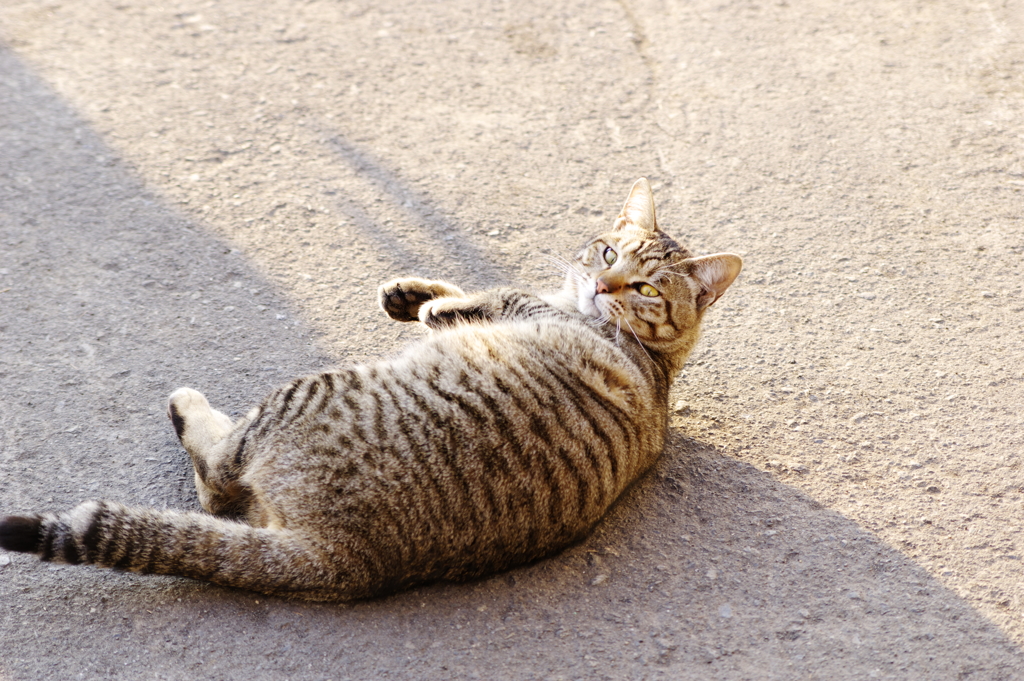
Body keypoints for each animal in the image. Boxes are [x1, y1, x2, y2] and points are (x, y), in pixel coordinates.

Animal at [0, 179, 737, 602]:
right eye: (609, 254)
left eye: (645, 289)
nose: (603, 288)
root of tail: (344, 559)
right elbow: (464, 290)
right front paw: (413, 294)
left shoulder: (534, 311)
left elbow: (496, 293)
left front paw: (437, 305)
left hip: (300, 395)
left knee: (215, 476)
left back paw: (191, 407)